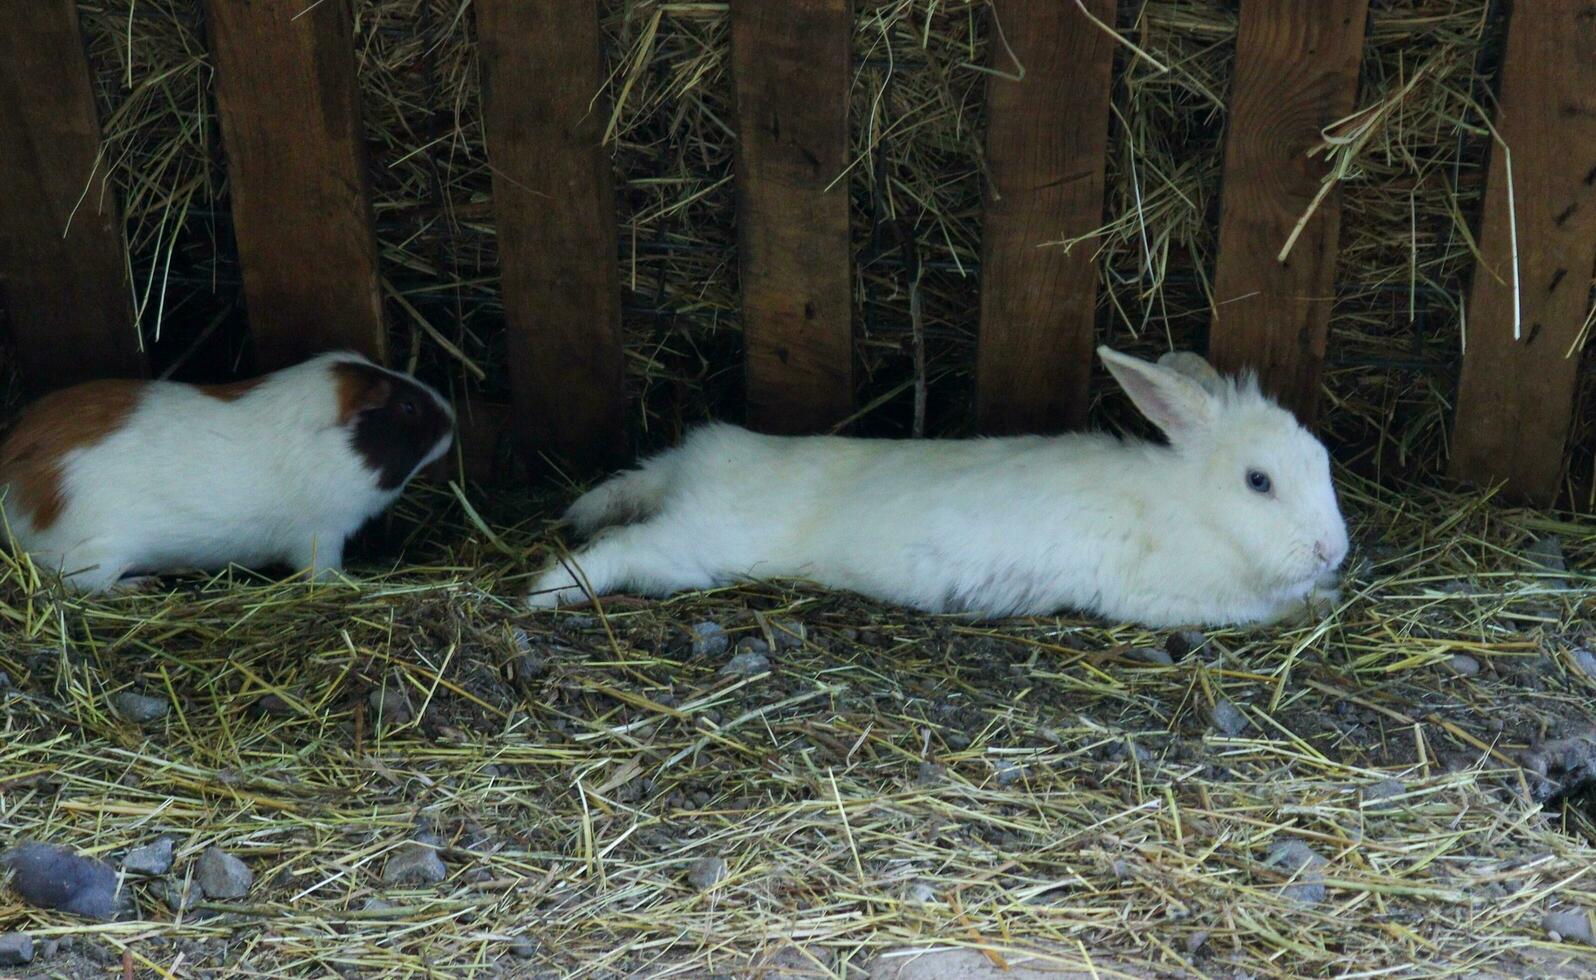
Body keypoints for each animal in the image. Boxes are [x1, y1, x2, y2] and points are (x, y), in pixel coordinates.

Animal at [533, 347, 1347, 628]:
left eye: (1322, 458)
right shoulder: (1172, 598)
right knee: (622, 548)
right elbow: (1262, 609)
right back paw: (545, 592)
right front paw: (1318, 598)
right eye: (1259, 482)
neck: (1191, 505)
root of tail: (705, 463)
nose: (1331, 550)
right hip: (696, 545)